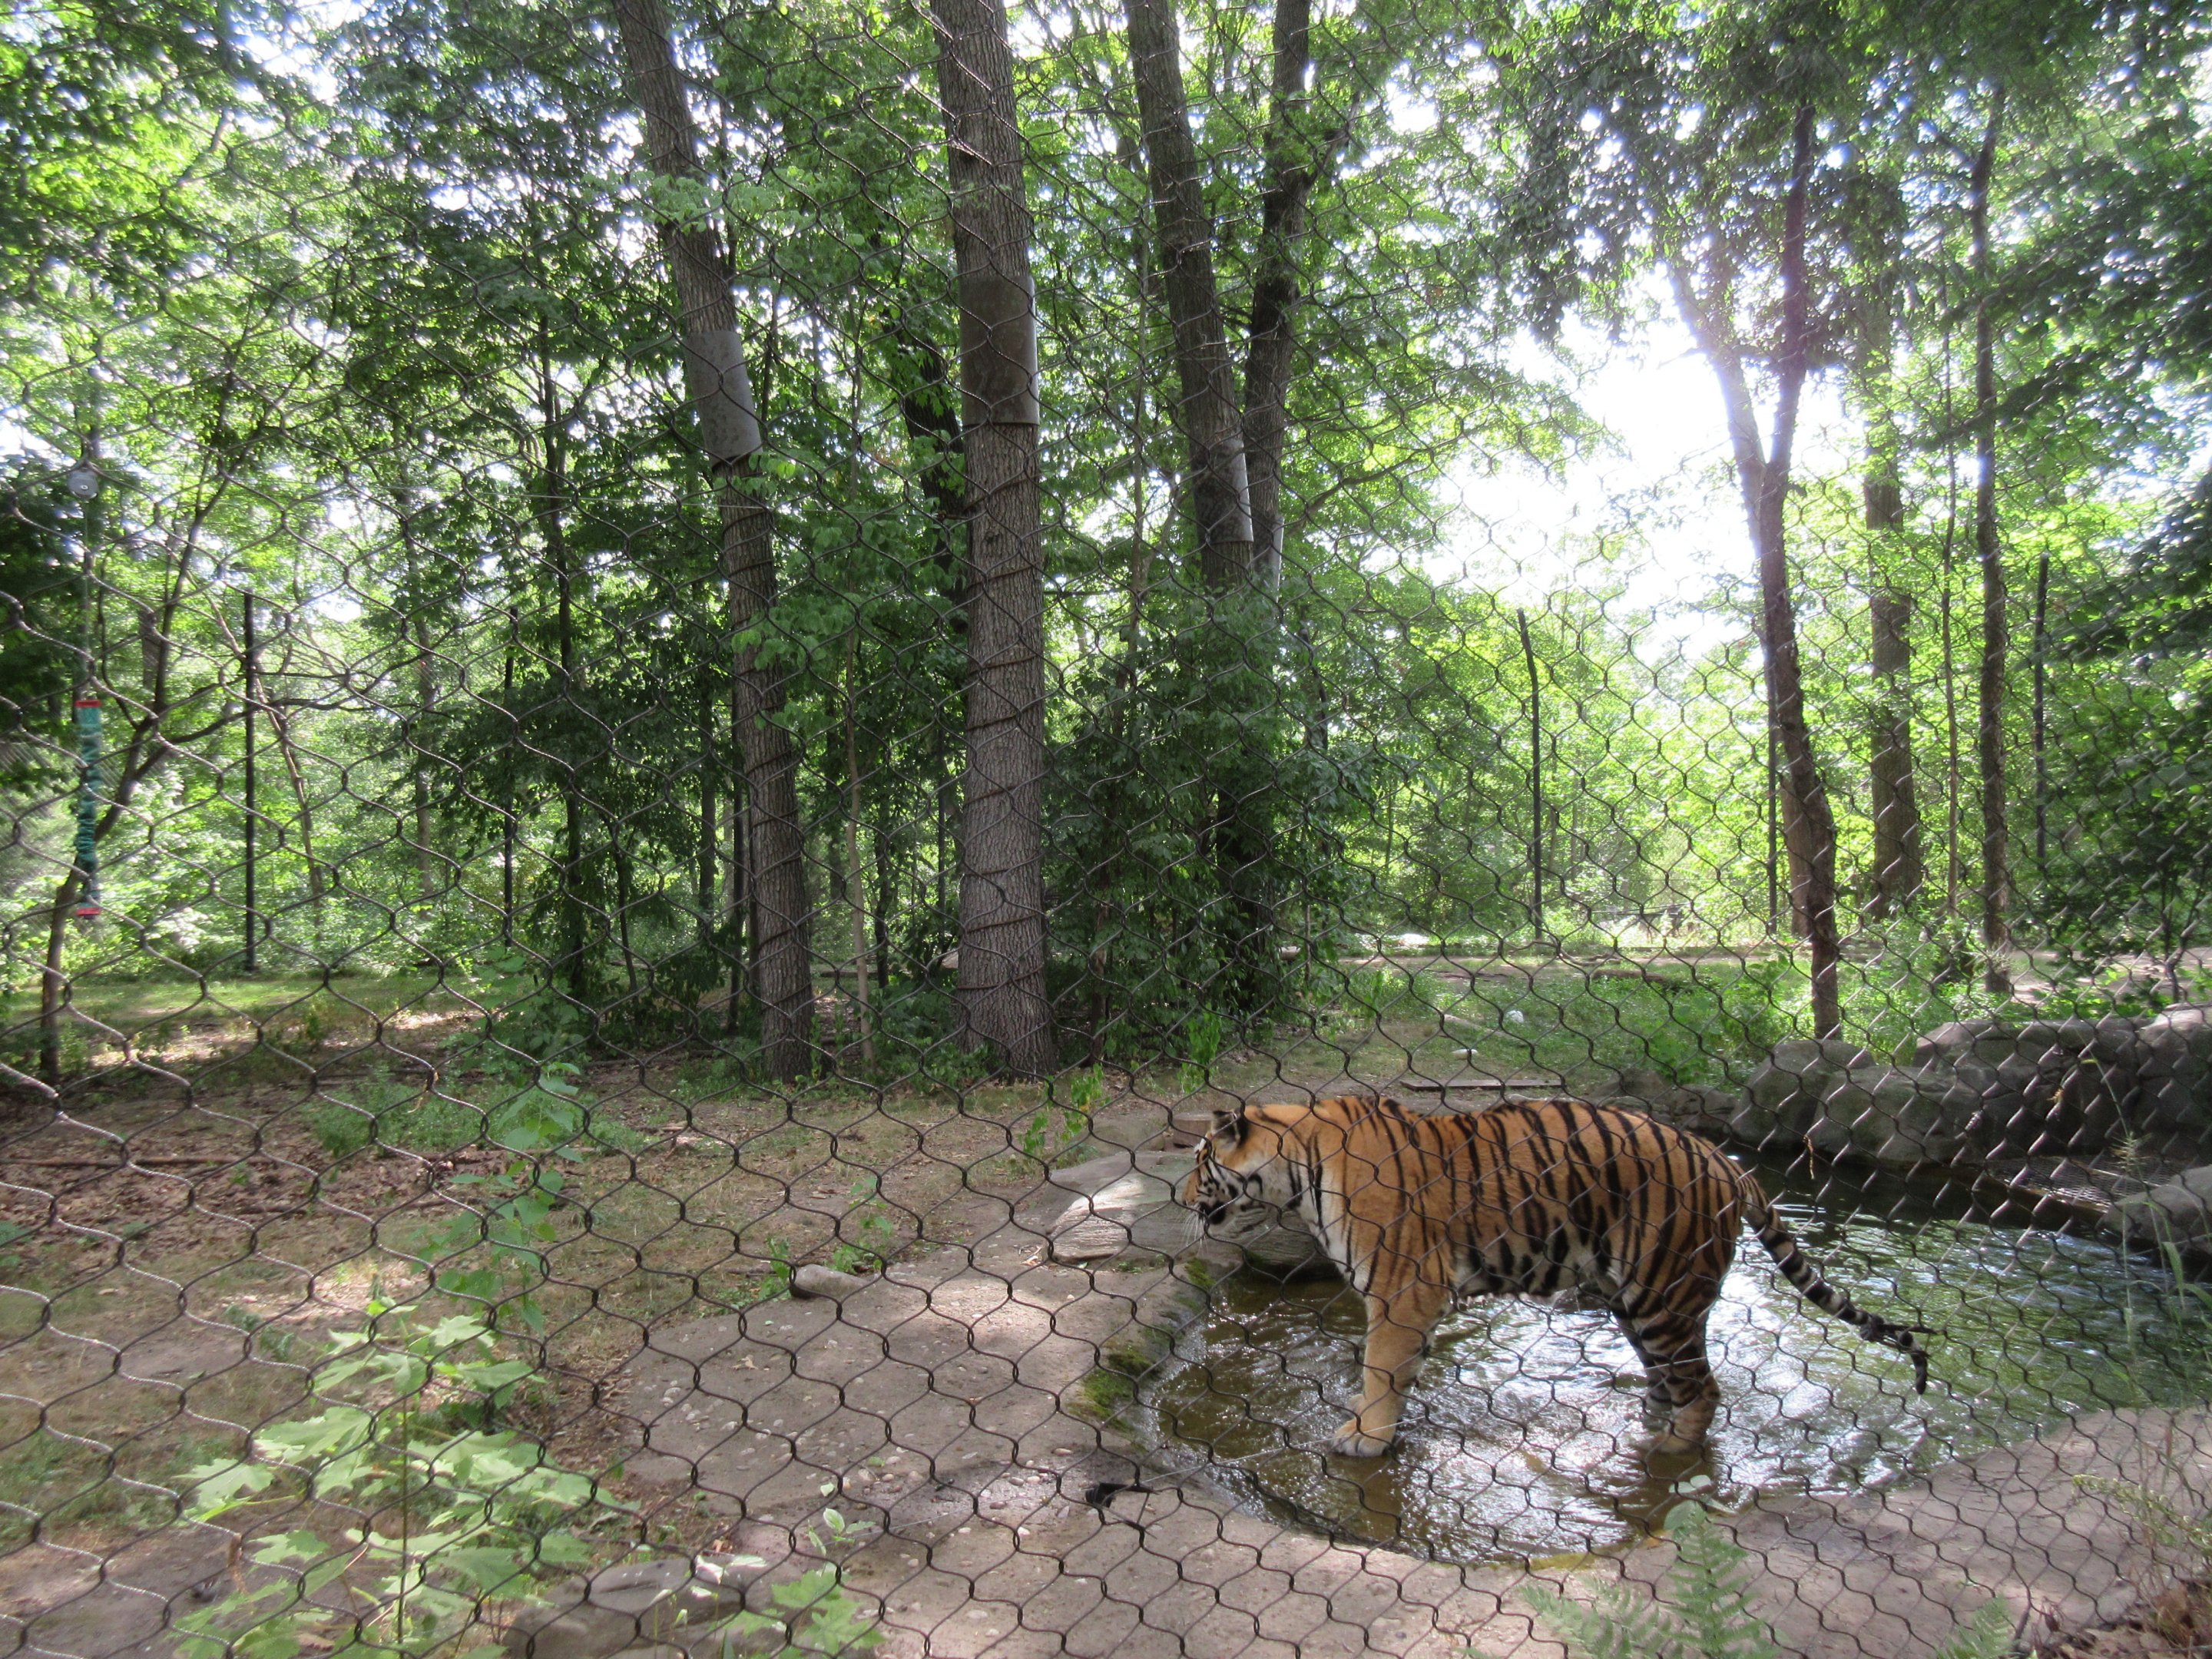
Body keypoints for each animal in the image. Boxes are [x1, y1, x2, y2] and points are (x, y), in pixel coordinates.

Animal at [1181, 1094, 1930, 1457]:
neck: (1297, 1172)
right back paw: (1645, 1429)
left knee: (1705, 1389)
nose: (1179, 1198)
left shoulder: (1401, 1291)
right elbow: (1399, 1373)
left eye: (1199, 1161)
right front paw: (1381, 1430)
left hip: (1664, 1294)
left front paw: (1363, 1438)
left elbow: (1380, 1371)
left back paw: (1668, 1454)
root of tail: (1725, 1160)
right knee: (1670, 1383)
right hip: (1636, 1303)